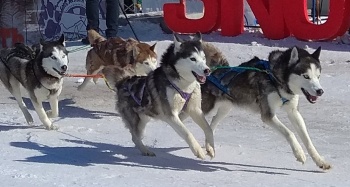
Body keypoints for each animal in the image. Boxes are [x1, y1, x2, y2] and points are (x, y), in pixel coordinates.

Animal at [194, 46, 330, 169]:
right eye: (306, 76)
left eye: (318, 76)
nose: (320, 91)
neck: (275, 79)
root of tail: (211, 71)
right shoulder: (268, 115)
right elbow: (290, 133)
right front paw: (299, 153)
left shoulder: (293, 112)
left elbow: (307, 140)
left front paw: (320, 161)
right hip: (205, 108)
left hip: (226, 108)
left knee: (211, 124)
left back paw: (209, 147)